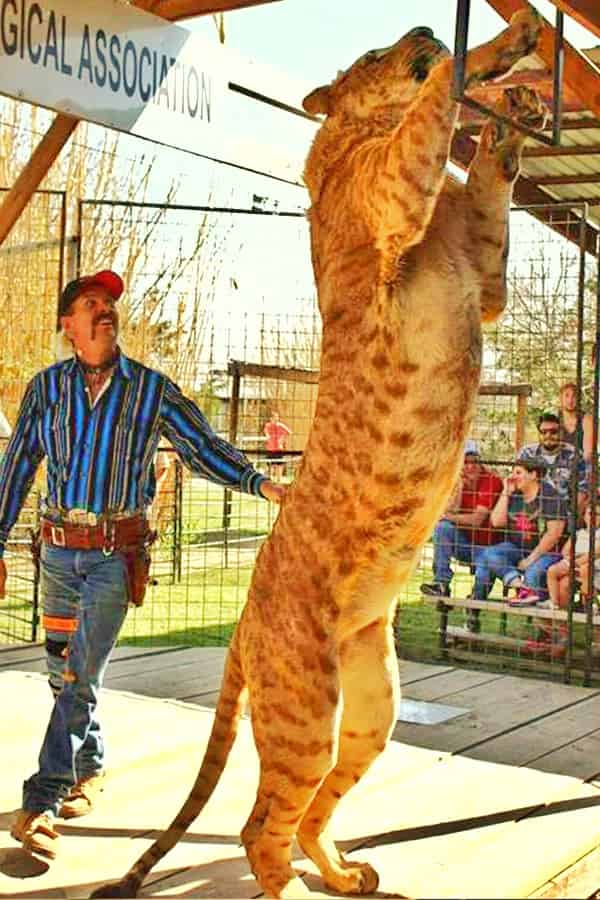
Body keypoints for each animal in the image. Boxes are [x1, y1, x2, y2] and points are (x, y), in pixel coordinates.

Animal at [92, 8, 544, 900]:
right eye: (371, 51)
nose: (416, 23)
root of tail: (241, 625)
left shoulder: (485, 272)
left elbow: (487, 181)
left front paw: (514, 113)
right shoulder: (396, 192)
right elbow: (436, 103)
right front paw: (489, 49)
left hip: (372, 704)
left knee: (311, 812)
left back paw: (346, 873)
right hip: (306, 709)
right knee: (262, 824)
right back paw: (299, 882)